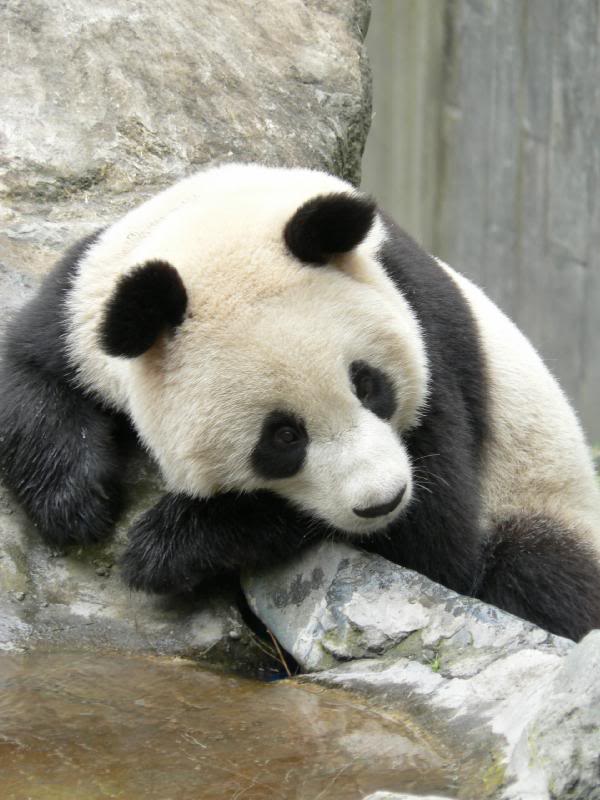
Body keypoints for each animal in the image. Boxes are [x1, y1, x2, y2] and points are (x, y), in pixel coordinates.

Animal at [1, 163, 600, 642]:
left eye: (368, 385)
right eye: (283, 437)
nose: (382, 500)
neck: (224, 219)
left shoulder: (425, 335)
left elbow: (439, 549)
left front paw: (166, 545)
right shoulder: (85, 301)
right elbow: (28, 370)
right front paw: (75, 503)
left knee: (537, 570)